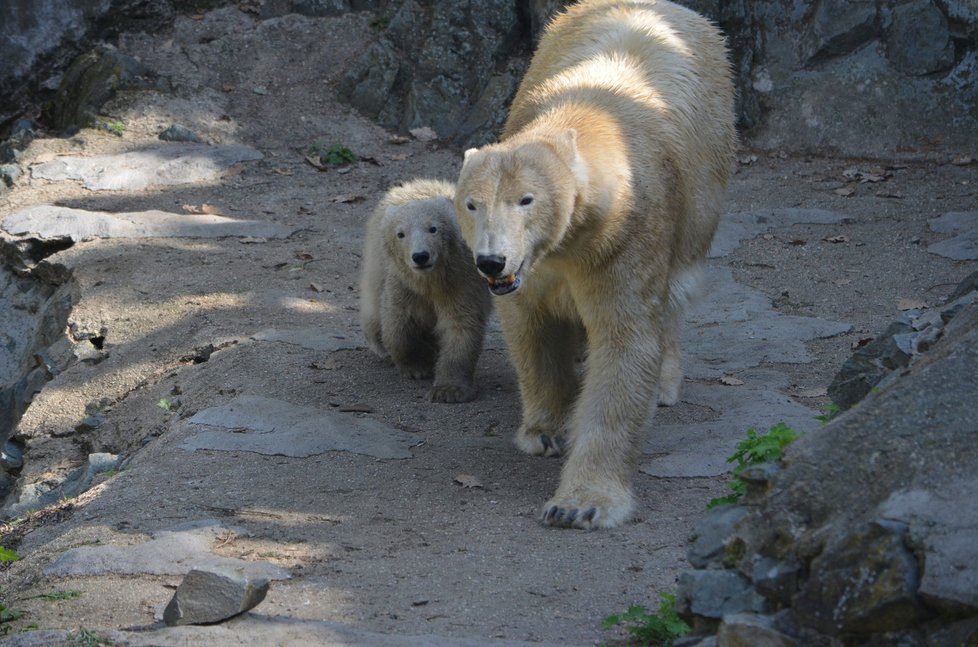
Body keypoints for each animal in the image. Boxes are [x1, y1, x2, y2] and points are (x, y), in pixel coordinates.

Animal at [454, 0, 736, 528]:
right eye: (472, 204)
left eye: (526, 199)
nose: (491, 261)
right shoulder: (539, 266)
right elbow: (532, 323)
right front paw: (545, 431)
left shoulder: (624, 237)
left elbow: (625, 342)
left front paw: (580, 503)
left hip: (704, 188)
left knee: (677, 290)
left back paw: (665, 382)